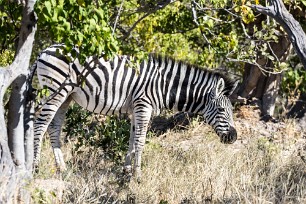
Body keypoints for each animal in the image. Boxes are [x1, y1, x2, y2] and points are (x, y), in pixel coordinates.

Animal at [33, 44, 239, 177]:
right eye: (221, 109)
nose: (234, 137)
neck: (164, 86)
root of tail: (45, 50)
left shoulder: (135, 109)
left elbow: (132, 140)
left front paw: (126, 171)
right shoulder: (143, 106)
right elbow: (140, 141)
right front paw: (137, 175)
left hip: (67, 96)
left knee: (54, 128)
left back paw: (62, 169)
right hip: (55, 89)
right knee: (41, 124)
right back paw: (34, 168)